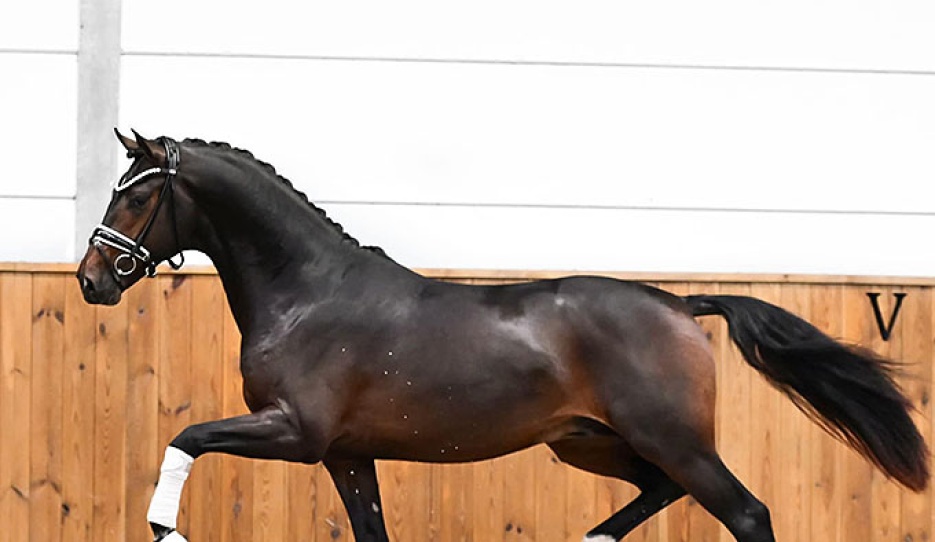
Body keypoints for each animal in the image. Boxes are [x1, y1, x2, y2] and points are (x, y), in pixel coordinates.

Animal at [76, 130, 928, 542]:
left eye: (139, 196)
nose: (92, 279)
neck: (307, 293)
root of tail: (678, 306)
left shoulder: (296, 432)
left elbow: (185, 437)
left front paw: (165, 530)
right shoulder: (347, 454)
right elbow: (371, 534)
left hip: (671, 438)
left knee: (745, 513)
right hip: (587, 442)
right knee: (658, 492)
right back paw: (591, 541)